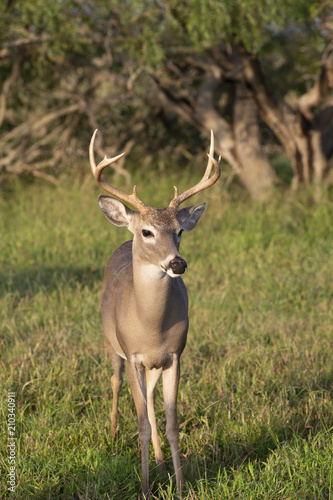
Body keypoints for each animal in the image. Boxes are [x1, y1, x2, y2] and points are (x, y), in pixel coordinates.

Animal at [89, 129, 220, 496]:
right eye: (147, 232)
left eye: (180, 231)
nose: (177, 263)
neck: (151, 327)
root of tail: (122, 240)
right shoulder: (133, 353)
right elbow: (143, 424)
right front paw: (146, 489)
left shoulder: (175, 354)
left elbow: (170, 422)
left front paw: (179, 486)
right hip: (111, 343)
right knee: (116, 381)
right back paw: (114, 433)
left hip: (154, 365)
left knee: (148, 397)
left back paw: (161, 464)